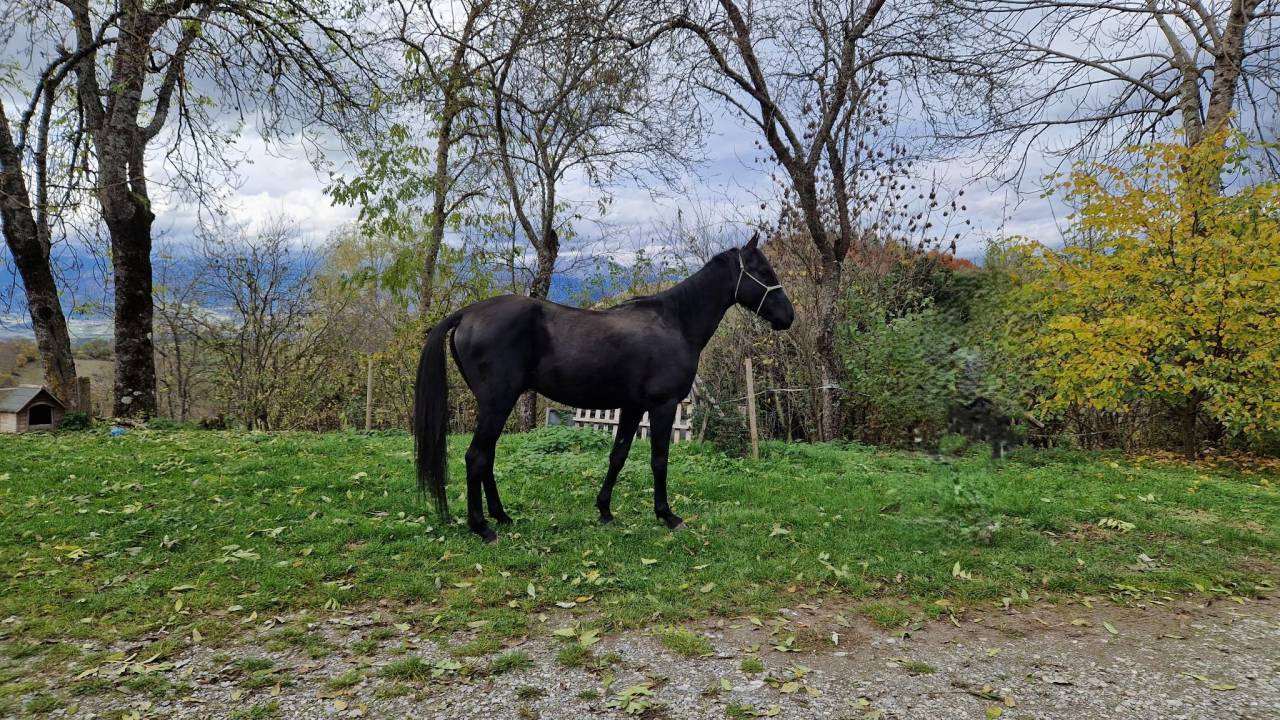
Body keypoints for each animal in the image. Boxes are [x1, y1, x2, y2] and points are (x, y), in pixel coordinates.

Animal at [412, 234, 795, 543]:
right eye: (763, 272)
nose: (788, 317)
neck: (675, 321)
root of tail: (466, 314)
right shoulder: (663, 405)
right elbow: (659, 460)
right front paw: (667, 515)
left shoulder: (632, 407)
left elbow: (618, 456)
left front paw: (605, 511)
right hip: (497, 403)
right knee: (476, 457)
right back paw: (482, 527)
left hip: (495, 405)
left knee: (487, 457)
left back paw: (502, 516)